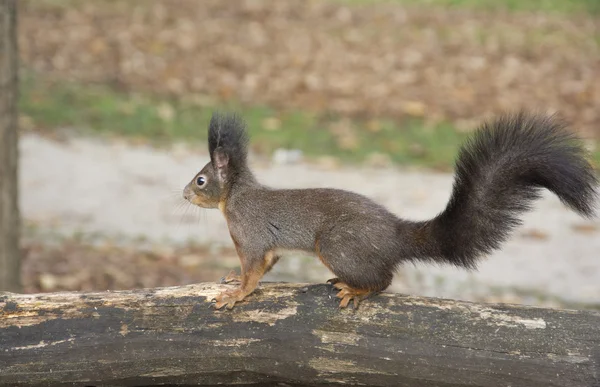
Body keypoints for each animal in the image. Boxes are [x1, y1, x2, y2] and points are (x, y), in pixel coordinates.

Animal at [184, 110, 600, 310]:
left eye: (201, 180)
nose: (185, 194)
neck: (235, 196)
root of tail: (397, 235)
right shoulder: (266, 245)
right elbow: (267, 265)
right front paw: (230, 276)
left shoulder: (250, 234)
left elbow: (254, 272)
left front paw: (236, 293)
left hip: (336, 246)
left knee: (384, 280)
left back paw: (355, 289)